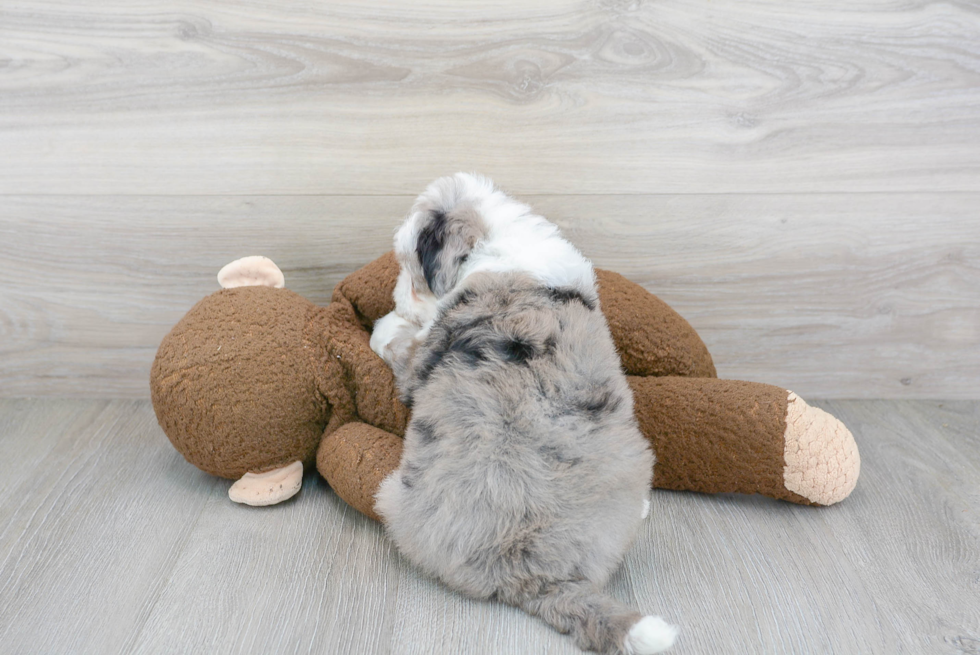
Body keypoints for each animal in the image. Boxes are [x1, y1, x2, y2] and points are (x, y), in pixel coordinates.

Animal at [372, 172, 676, 652]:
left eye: (410, 268)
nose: (397, 297)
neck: (496, 242)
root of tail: (533, 572)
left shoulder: (420, 358)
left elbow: (394, 340)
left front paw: (384, 323)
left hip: (391, 495)